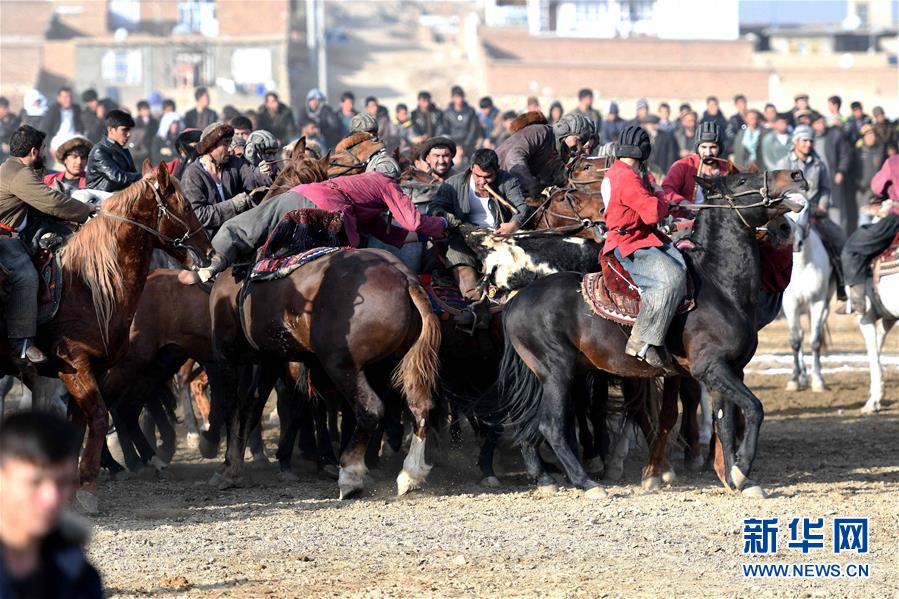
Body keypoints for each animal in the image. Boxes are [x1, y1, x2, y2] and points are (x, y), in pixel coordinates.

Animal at [0, 162, 213, 512]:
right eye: (184, 206)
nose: (208, 252)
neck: (88, 284)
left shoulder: (91, 370)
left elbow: (78, 425)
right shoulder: (74, 364)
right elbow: (99, 417)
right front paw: (87, 489)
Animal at [784, 211, 840, 394]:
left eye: (806, 211)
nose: (796, 242)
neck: (801, 266)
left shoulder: (818, 301)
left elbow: (815, 341)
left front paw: (818, 381)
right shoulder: (790, 304)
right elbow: (795, 341)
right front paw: (794, 380)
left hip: (824, 306)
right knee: (800, 336)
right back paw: (801, 377)